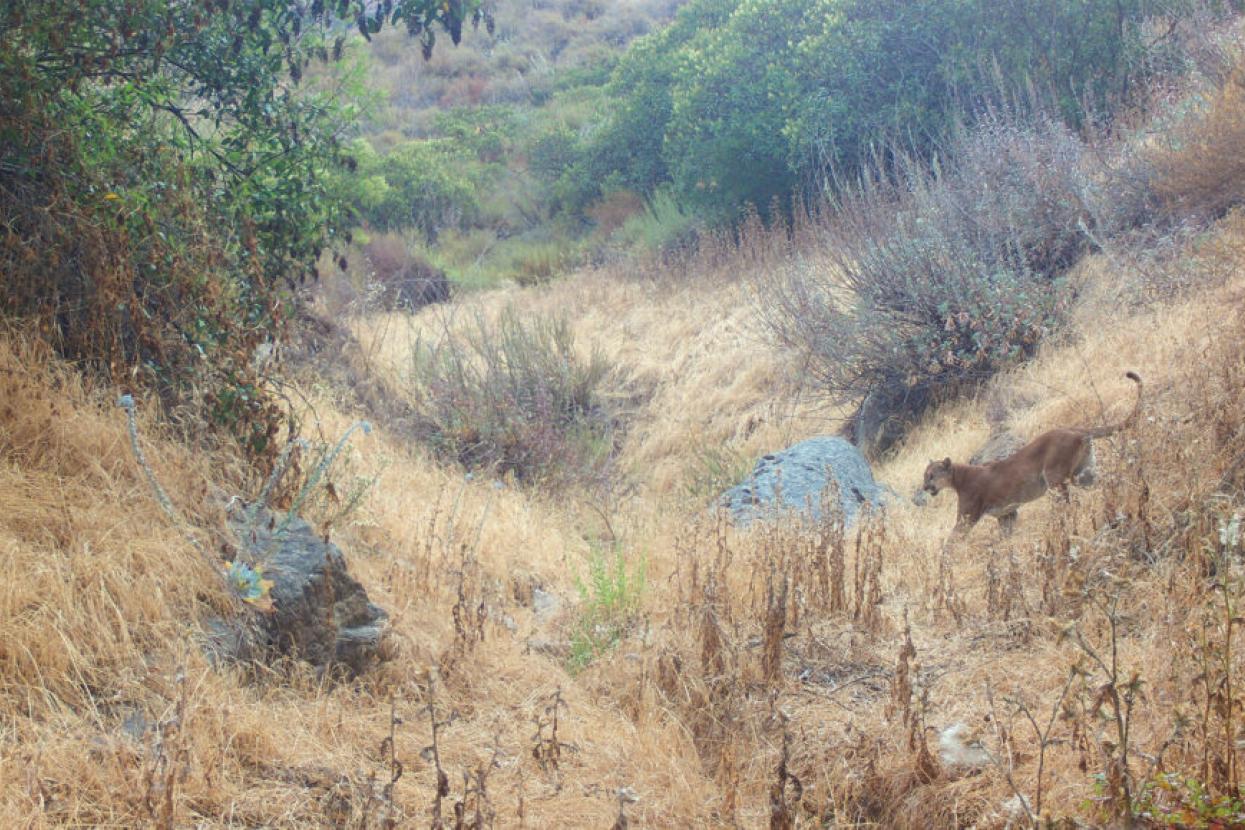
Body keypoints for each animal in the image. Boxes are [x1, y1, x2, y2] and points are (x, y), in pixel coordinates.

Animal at [921, 372, 1143, 537]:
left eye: (931, 475)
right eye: (925, 476)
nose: (924, 487)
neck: (957, 478)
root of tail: (1075, 429)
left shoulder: (966, 518)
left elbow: (950, 545)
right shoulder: (1007, 514)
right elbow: (1004, 539)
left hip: (1055, 479)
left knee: (1068, 504)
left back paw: (1060, 525)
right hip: (1084, 474)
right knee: (1106, 482)